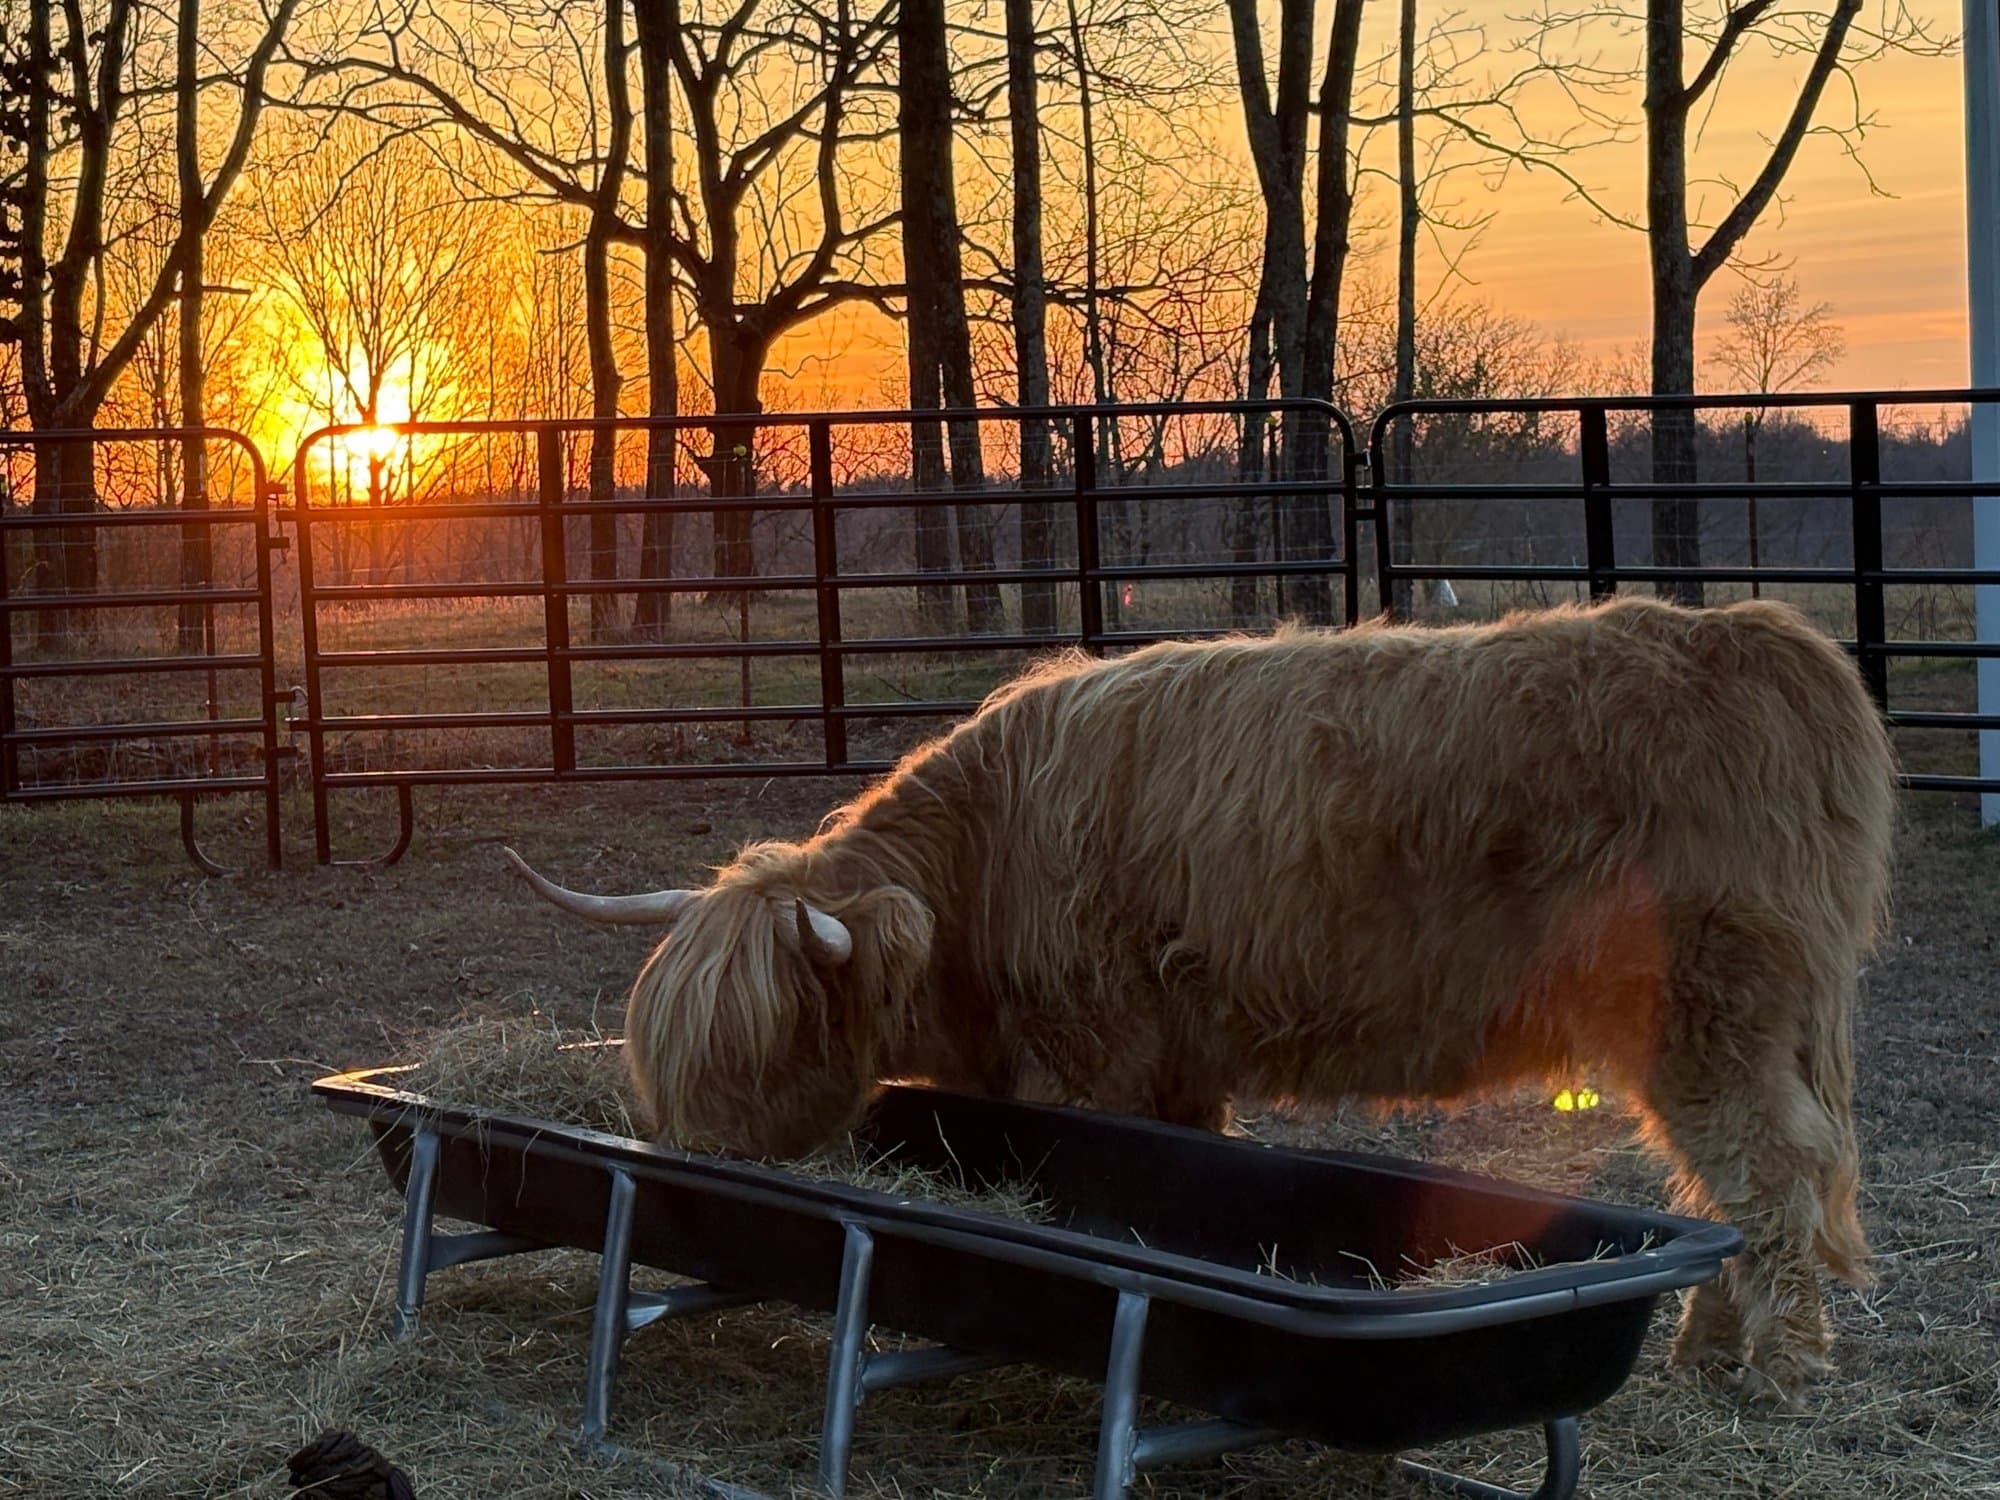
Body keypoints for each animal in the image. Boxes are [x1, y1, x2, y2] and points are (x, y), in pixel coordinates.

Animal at [506, 595, 1897, 1403]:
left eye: (762, 1042)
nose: (693, 1175)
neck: (980, 873)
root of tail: (1766, 642)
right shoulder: (1174, 1056)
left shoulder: (1103, 1049)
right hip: (1738, 1020)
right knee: (1735, 1180)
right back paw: (1710, 1341)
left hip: (1717, 1006)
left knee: (1771, 1169)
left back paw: (1775, 1367)